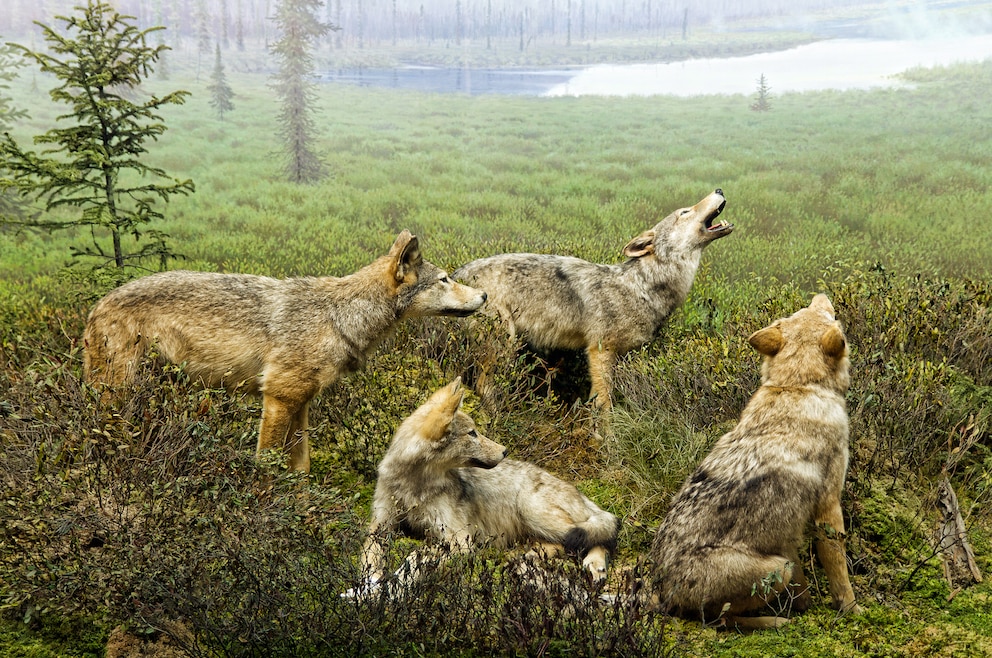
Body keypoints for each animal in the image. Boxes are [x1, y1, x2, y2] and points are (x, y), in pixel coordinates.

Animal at [82, 231, 488, 472]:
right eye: (445, 280)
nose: (484, 295)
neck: (337, 317)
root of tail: (96, 307)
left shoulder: (302, 404)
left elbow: (301, 469)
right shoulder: (278, 398)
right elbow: (266, 467)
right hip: (117, 395)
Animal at [344, 376, 616, 596]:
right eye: (472, 433)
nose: (505, 451)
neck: (414, 486)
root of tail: (580, 493)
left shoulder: (459, 540)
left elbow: (414, 558)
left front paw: (392, 589)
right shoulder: (379, 526)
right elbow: (370, 560)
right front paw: (367, 587)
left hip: (533, 512)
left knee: (601, 534)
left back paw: (594, 566)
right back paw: (528, 555)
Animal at [454, 187, 732, 408]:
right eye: (684, 212)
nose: (719, 189)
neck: (642, 286)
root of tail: (456, 274)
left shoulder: (619, 355)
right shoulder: (599, 350)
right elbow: (604, 403)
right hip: (505, 342)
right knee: (483, 387)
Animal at [652, 294, 860, 628]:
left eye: (815, 310)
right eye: (832, 317)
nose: (821, 297)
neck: (798, 386)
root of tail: (662, 591)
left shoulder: (787, 537)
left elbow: (802, 580)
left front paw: (803, 605)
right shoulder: (828, 507)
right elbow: (839, 569)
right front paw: (852, 610)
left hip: (779, 563)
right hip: (776, 569)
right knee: (722, 622)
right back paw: (774, 622)